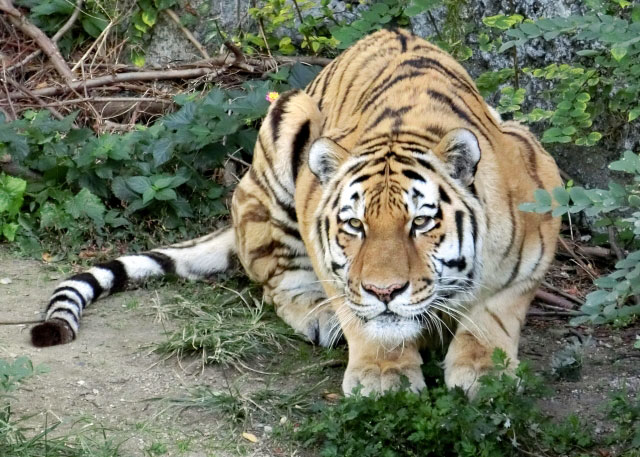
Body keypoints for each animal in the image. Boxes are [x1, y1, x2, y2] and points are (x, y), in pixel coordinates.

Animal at [30, 28, 560, 398]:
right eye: (354, 226)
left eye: (421, 223)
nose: (385, 291)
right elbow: (361, 312)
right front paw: (383, 375)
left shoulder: (538, 217)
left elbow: (492, 313)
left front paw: (485, 374)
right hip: (284, 131)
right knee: (273, 276)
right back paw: (320, 318)